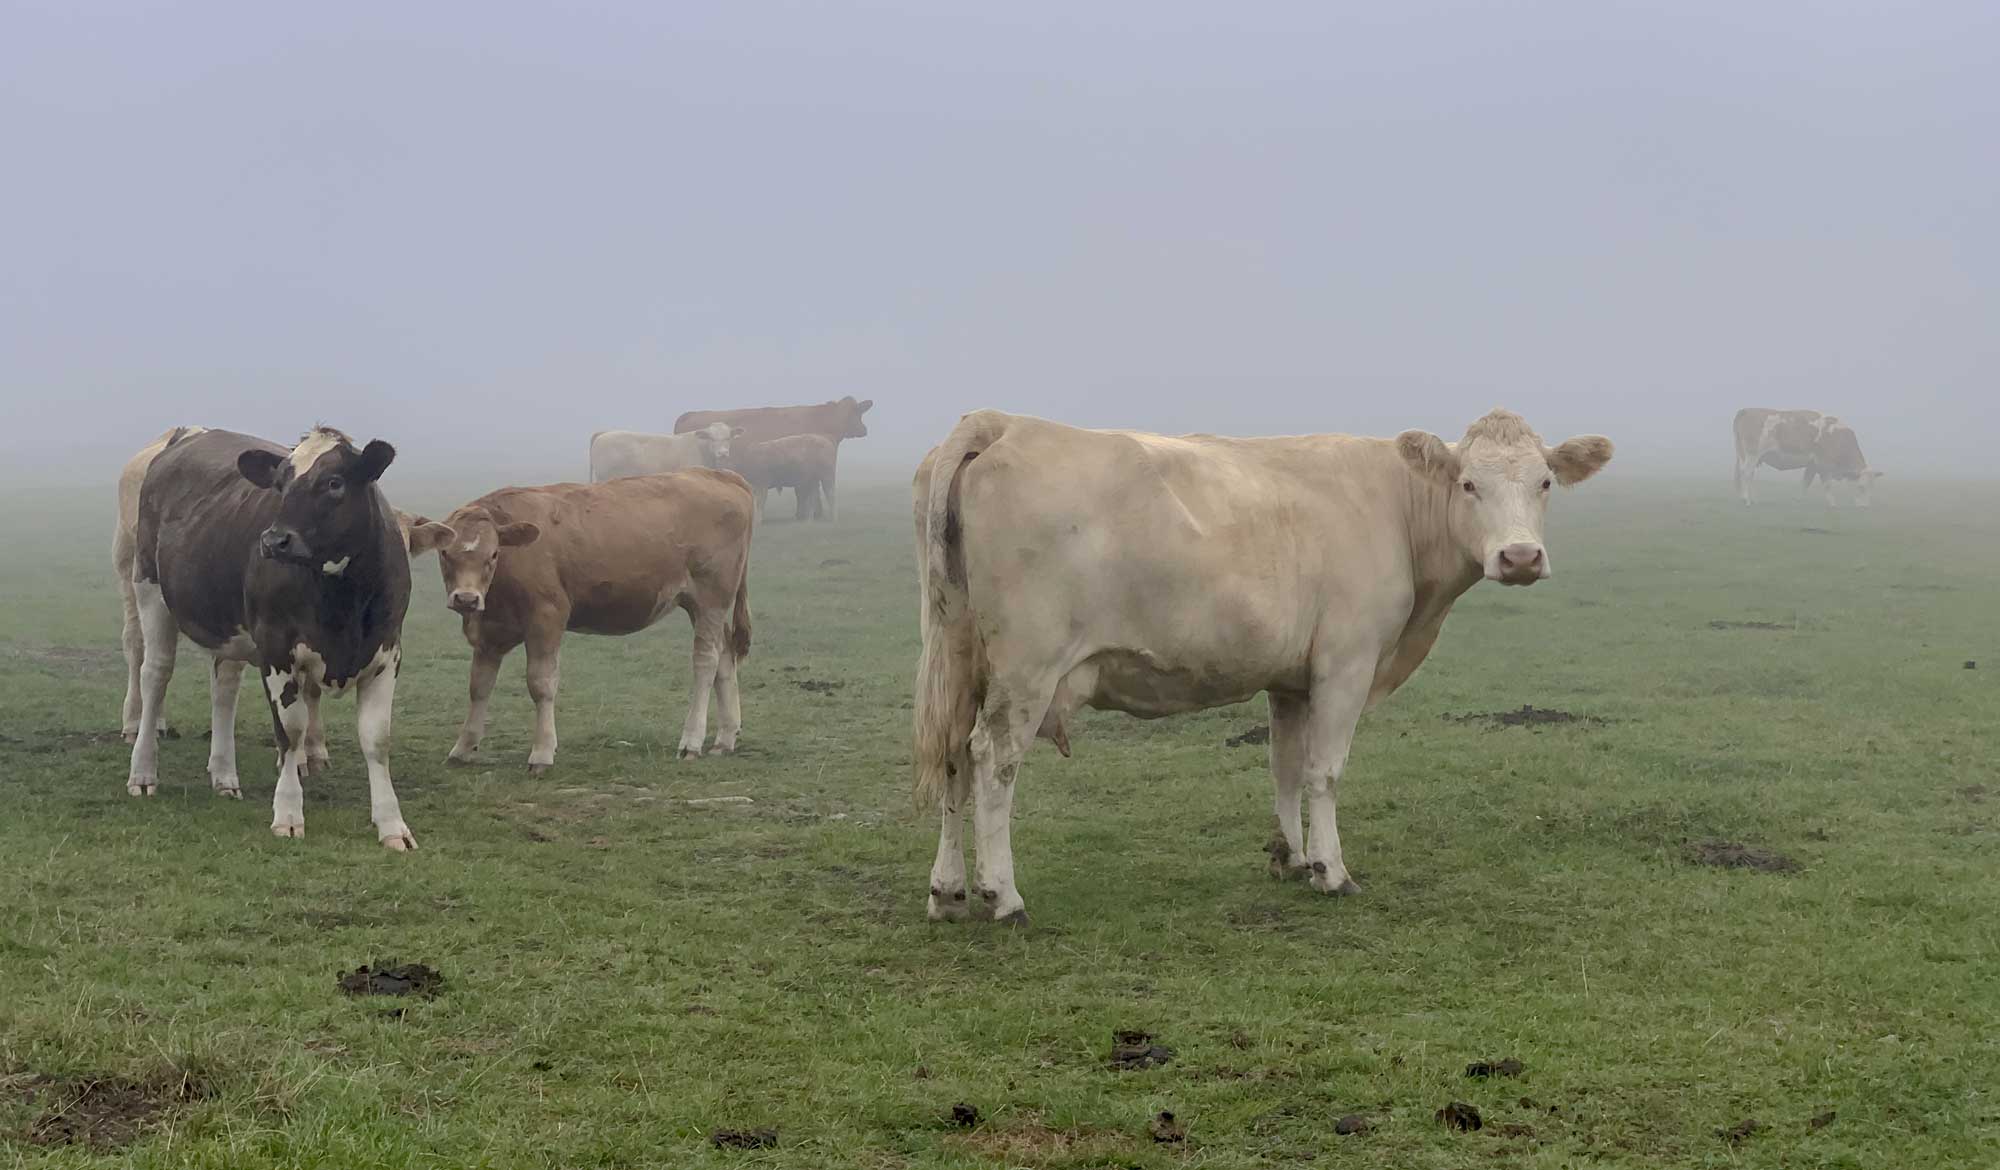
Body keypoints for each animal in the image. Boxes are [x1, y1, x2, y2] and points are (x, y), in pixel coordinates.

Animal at [125, 426, 418, 849]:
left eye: (334, 482)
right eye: (281, 484)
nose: (274, 540)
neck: (342, 601)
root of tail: (186, 435)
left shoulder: (386, 652)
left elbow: (377, 740)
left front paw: (392, 825)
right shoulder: (277, 648)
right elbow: (291, 732)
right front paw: (289, 814)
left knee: (224, 688)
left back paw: (224, 775)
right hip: (149, 586)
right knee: (155, 676)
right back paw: (144, 771)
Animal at [406, 468, 755, 773]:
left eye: (493, 555)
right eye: (445, 554)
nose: (466, 599)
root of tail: (718, 474)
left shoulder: (547, 616)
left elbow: (541, 683)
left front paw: (542, 752)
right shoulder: (491, 631)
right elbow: (478, 686)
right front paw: (463, 748)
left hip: (711, 599)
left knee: (706, 661)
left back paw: (692, 740)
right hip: (704, 606)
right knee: (725, 655)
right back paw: (724, 737)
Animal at [910, 408, 1613, 924]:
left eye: (1545, 482)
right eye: (1469, 484)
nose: (1519, 557)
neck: (1398, 510)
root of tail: (1003, 421)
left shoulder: (1292, 679)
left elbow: (1285, 765)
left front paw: (1291, 858)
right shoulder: (1346, 664)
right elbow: (1325, 771)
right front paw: (1332, 871)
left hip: (960, 655)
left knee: (952, 756)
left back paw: (947, 891)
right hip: (1027, 671)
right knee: (992, 761)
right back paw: (1003, 896)